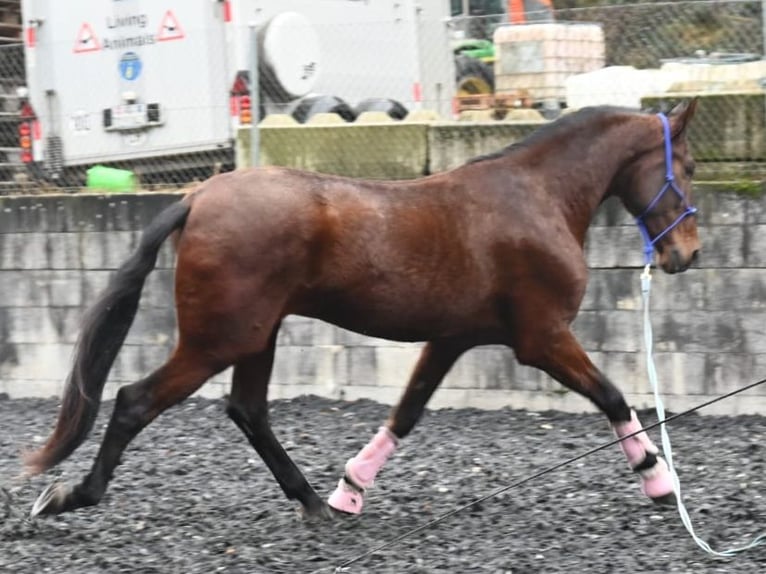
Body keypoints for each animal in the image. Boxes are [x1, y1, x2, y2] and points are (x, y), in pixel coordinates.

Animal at [28, 100, 704, 520]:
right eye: (691, 166)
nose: (688, 253)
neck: (535, 198)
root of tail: (196, 197)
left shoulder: (451, 338)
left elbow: (406, 415)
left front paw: (350, 490)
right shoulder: (542, 337)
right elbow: (613, 395)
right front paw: (660, 480)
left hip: (256, 337)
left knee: (248, 410)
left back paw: (313, 503)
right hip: (217, 341)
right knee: (134, 401)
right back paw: (68, 496)